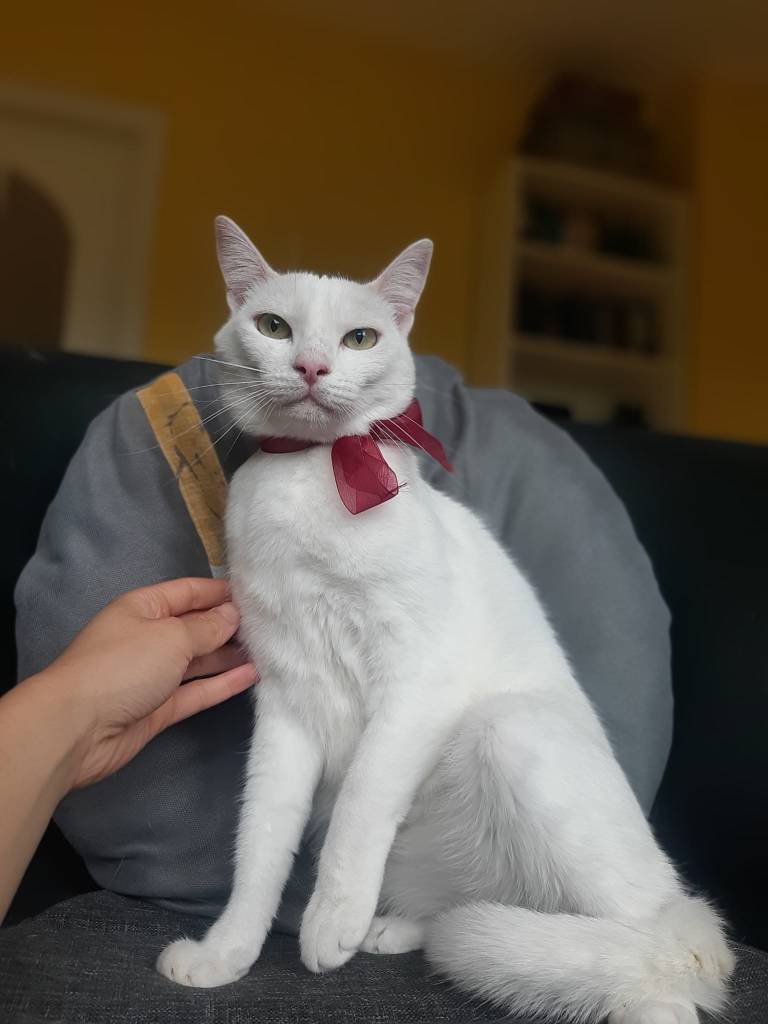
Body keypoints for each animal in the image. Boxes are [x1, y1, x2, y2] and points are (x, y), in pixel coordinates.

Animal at [157, 216, 733, 1023]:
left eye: (360, 338)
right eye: (274, 327)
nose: (310, 366)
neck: (313, 477)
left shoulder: (414, 682)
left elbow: (360, 804)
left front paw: (330, 920)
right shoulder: (286, 705)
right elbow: (260, 846)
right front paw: (227, 955)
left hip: (515, 733)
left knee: (658, 958)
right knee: (486, 915)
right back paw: (398, 929)